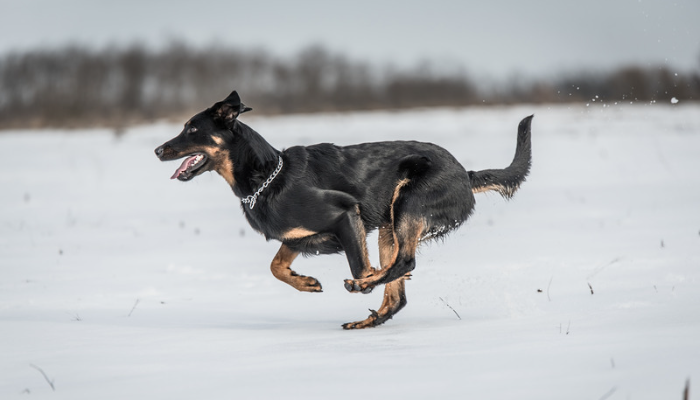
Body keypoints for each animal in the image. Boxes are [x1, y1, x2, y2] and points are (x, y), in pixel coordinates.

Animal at [156, 90, 532, 328]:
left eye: (192, 128)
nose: (158, 150)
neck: (268, 176)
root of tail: (465, 175)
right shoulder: (298, 237)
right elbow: (275, 266)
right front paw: (305, 282)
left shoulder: (345, 215)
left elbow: (358, 266)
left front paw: (362, 282)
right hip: (388, 226)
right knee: (398, 293)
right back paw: (368, 321)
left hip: (407, 204)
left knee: (404, 263)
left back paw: (366, 289)